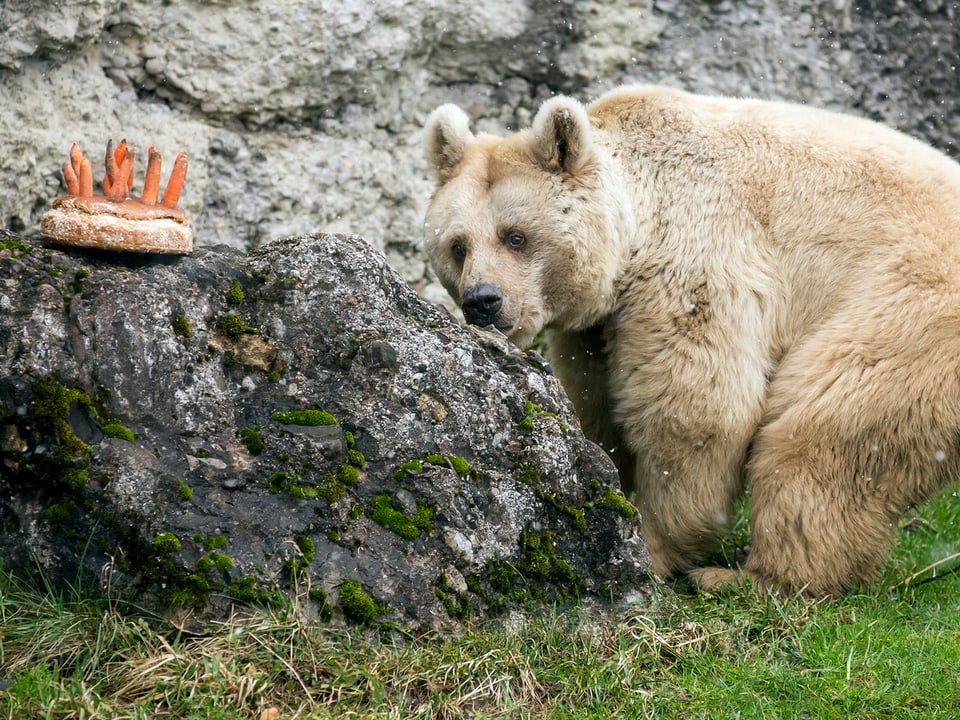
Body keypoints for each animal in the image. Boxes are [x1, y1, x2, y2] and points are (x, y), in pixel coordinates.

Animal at [422, 84, 960, 596]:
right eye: (458, 245)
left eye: (516, 236)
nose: (483, 300)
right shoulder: (594, 331)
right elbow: (598, 407)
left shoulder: (695, 257)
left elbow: (695, 409)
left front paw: (647, 545)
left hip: (906, 313)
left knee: (824, 430)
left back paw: (750, 578)